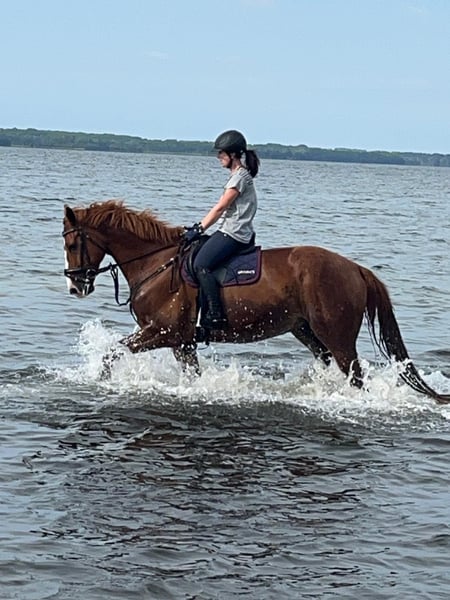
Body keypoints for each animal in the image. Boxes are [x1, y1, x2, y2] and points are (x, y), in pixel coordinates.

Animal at [62, 199, 450, 404]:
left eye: (72, 243)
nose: (75, 287)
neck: (157, 262)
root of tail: (355, 268)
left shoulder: (163, 333)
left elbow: (111, 353)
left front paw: (100, 381)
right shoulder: (183, 342)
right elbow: (191, 376)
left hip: (337, 337)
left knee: (355, 376)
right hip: (307, 332)